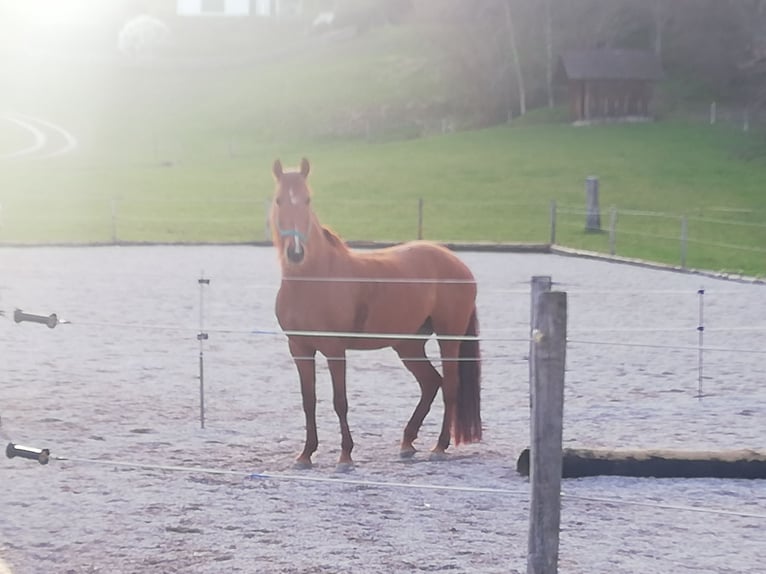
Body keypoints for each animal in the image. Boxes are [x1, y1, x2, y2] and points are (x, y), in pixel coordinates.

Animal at [272, 159, 484, 472]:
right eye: (278, 200)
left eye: (308, 199)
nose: (296, 253)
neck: (314, 278)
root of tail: (456, 262)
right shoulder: (299, 348)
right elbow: (308, 401)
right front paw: (306, 454)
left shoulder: (335, 349)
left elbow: (340, 401)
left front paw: (345, 456)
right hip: (408, 345)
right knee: (431, 382)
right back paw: (407, 442)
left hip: (449, 338)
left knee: (450, 386)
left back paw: (439, 446)